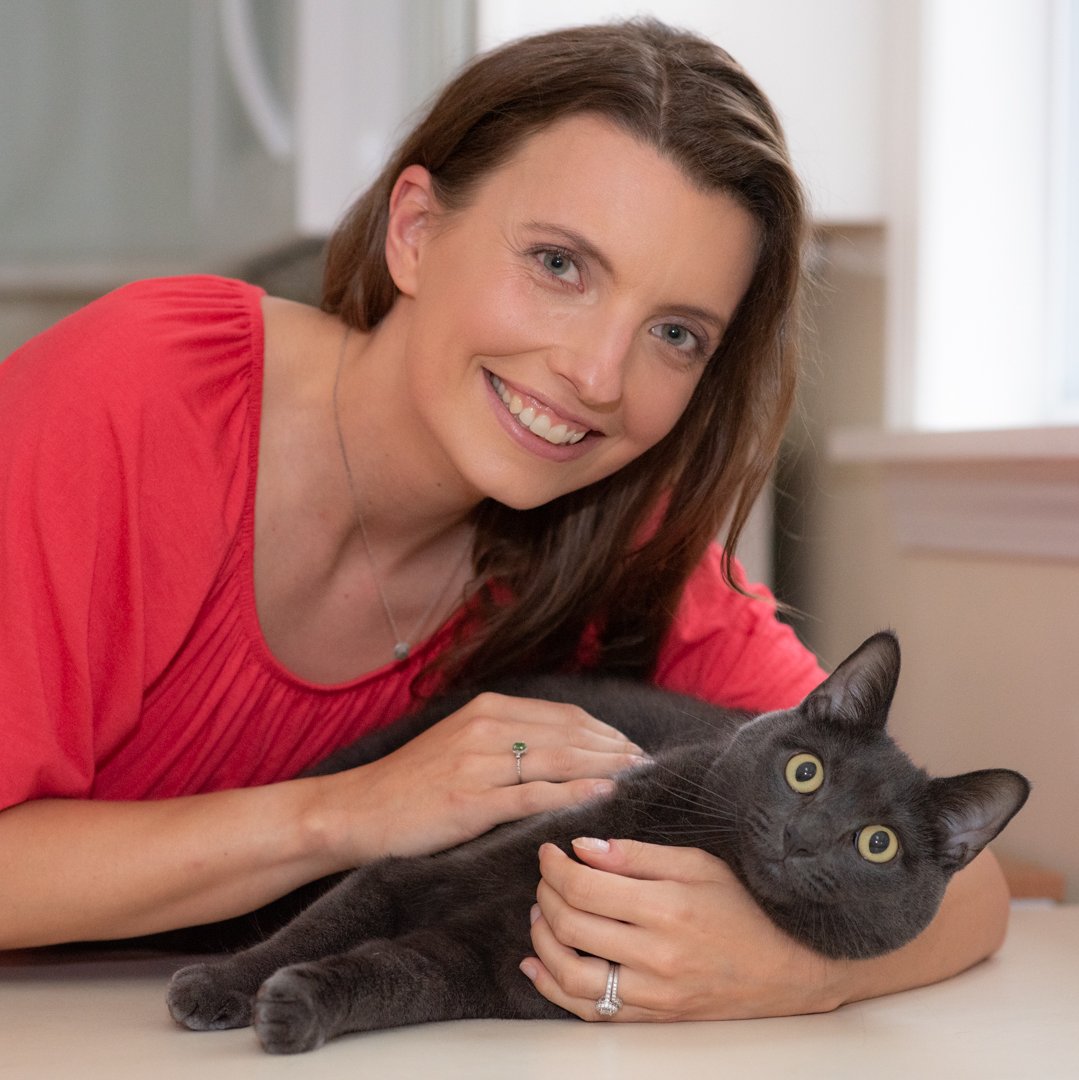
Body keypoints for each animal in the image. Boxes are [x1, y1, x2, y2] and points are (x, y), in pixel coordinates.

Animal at [164, 630, 1023, 1054]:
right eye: (805, 771)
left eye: (876, 845)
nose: (803, 836)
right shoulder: (411, 873)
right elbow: (321, 926)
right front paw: (215, 988)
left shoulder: (486, 967)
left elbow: (390, 977)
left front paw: (296, 1009)